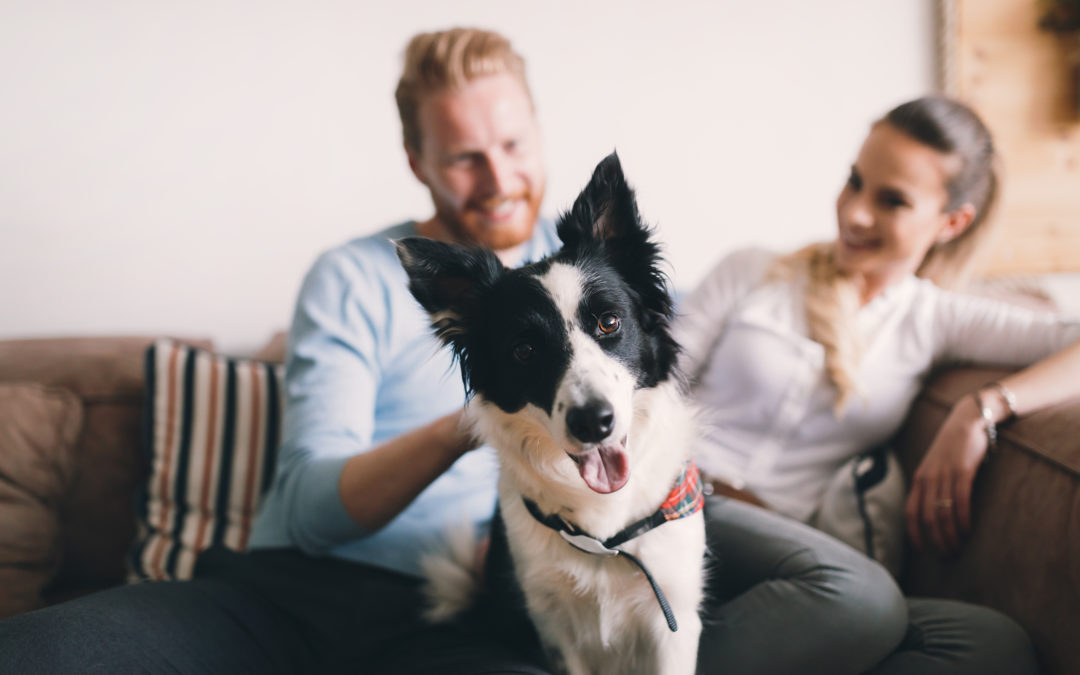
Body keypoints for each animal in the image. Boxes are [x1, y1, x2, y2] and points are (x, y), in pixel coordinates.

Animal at [393, 154, 704, 673]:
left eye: (609, 322)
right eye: (524, 351)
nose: (593, 422)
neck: (604, 532)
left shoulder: (673, 619)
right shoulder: (553, 625)